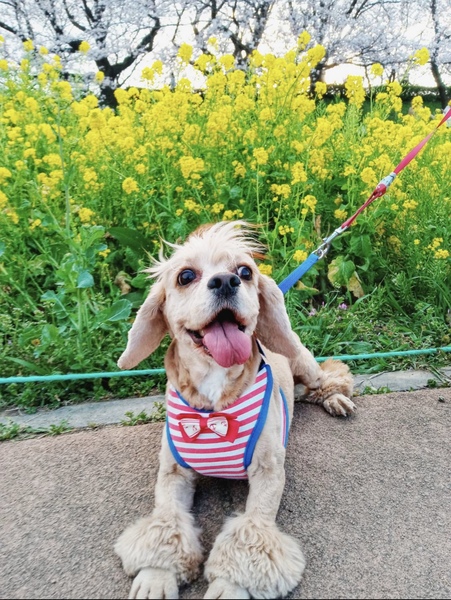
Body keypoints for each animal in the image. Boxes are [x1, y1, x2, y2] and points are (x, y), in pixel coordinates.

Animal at [114, 221, 355, 599]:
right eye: (185, 276)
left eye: (245, 271)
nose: (227, 281)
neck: (213, 408)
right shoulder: (173, 472)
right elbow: (166, 521)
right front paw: (156, 575)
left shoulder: (268, 471)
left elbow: (252, 531)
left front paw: (230, 585)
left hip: (303, 360)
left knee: (327, 378)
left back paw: (335, 398)